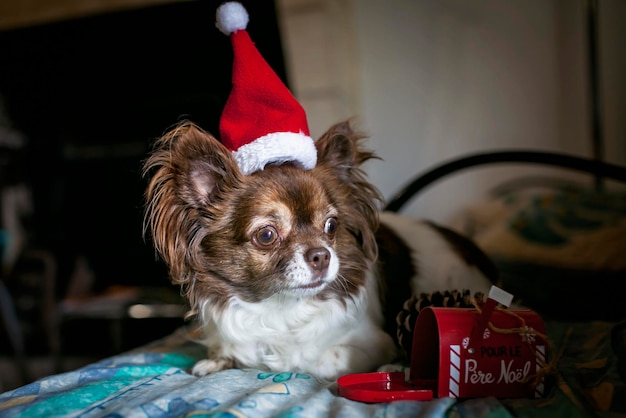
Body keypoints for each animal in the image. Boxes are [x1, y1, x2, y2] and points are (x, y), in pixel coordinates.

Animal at [140, 118, 492, 382]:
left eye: (331, 226)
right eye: (266, 235)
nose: (322, 255)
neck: (278, 307)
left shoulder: (373, 344)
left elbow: (316, 360)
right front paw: (218, 360)